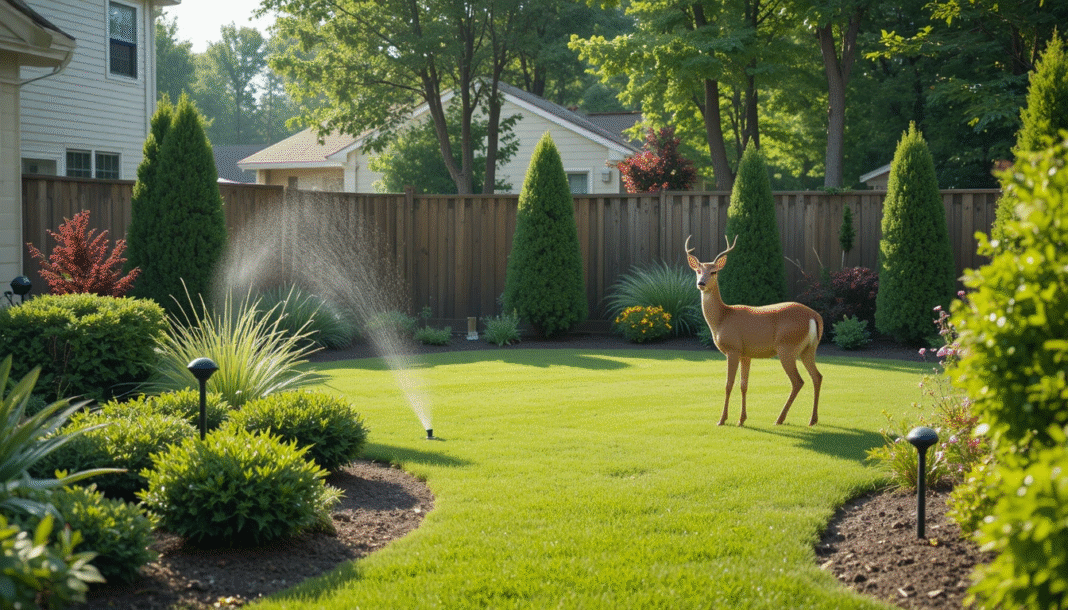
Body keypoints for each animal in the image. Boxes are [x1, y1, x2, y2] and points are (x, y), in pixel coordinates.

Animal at [685, 235, 823, 426]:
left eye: (714, 272)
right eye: (698, 270)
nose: (701, 283)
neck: (722, 318)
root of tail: (814, 316)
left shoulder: (733, 348)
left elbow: (728, 384)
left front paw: (722, 419)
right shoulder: (746, 353)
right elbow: (744, 385)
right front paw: (741, 419)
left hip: (787, 347)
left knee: (798, 381)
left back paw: (780, 419)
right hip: (808, 349)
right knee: (817, 376)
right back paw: (812, 419)